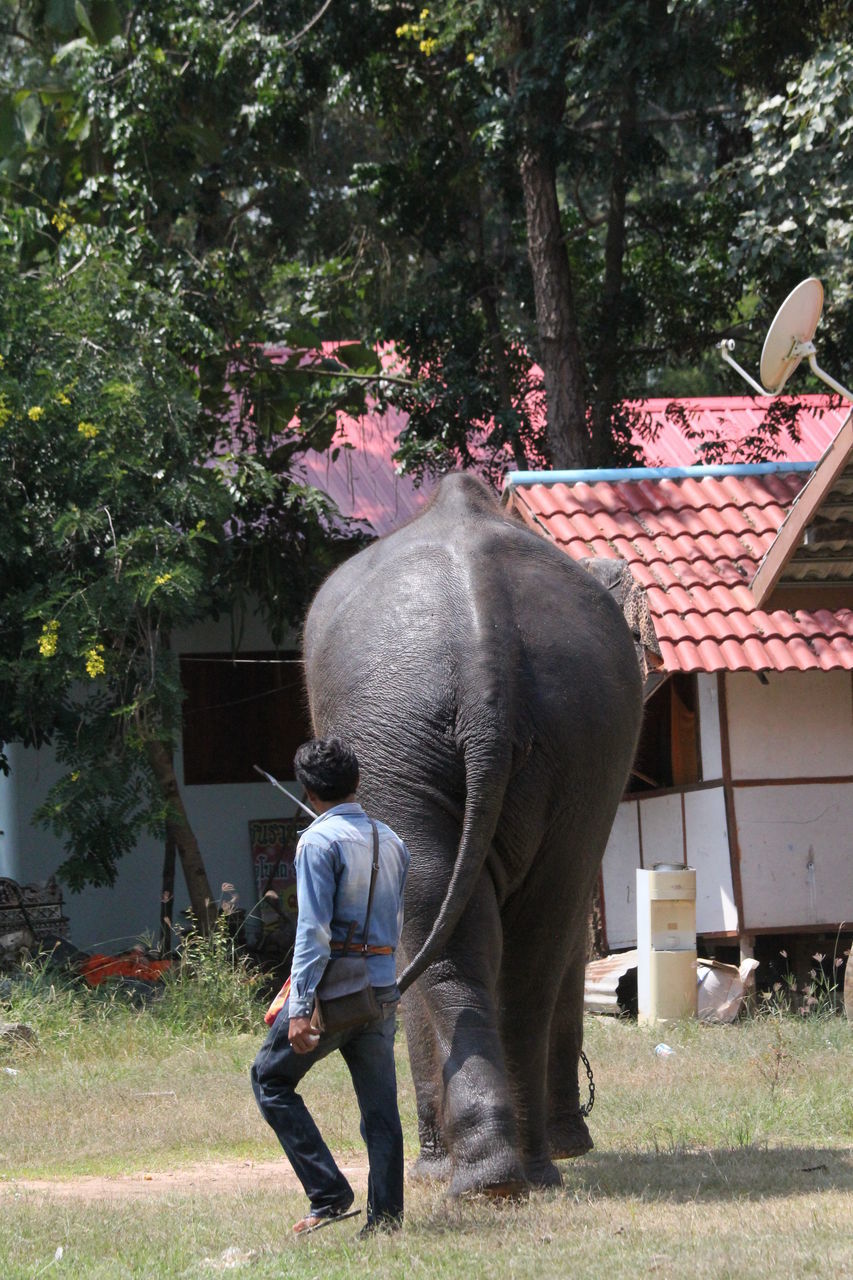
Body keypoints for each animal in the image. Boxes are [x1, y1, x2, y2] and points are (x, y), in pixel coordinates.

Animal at [298, 473, 637, 1198]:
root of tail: (486, 641)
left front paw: (430, 1166)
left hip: (398, 738)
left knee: (441, 927)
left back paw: (484, 1175)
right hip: (579, 736)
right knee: (530, 941)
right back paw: (521, 1174)